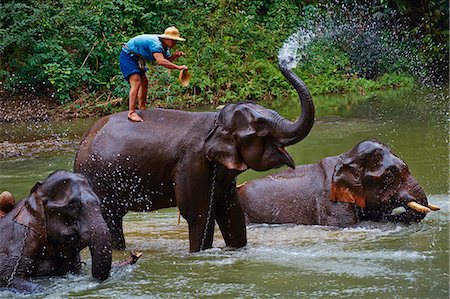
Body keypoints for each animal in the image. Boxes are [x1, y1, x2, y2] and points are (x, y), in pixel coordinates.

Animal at [73, 61, 312, 253]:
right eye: (261, 128)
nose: (284, 61)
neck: (215, 120)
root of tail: (85, 139)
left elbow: (231, 212)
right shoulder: (192, 163)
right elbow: (198, 214)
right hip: (97, 178)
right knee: (110, 217)